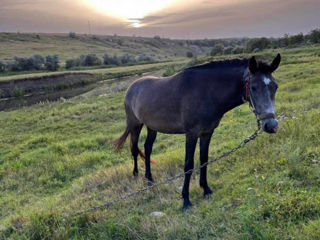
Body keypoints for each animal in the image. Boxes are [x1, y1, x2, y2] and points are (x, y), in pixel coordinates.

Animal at [115, 53, 280, 209]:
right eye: (253, 87)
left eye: (275, 86)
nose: (271, 125)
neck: (206, 92)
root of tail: (131, 87)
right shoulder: (191, 134)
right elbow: (188, 165)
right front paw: (186, 200)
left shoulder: (207, 132)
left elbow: (203, 159)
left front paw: (206, 189)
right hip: (135, 125)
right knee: (134, 149)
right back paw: (136, 176)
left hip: (152, 127)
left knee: (147, 148)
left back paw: (149, 179)